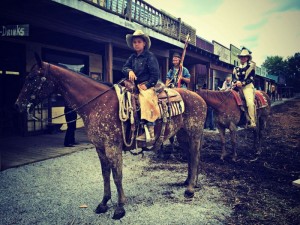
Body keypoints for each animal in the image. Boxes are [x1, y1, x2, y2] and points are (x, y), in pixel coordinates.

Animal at [14, 55, 206, 221]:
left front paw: (120, 207)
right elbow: (105, 174)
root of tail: (199, 98)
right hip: (182, 135)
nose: (18, 105)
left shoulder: (112, 147)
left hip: (194, 133)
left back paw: (190, 189)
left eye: (32, 78)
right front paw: (104, 203)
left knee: (196, 156)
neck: (96, 104)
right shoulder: (99, 147)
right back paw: (189, 182)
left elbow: (117, 175)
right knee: (190, 156)